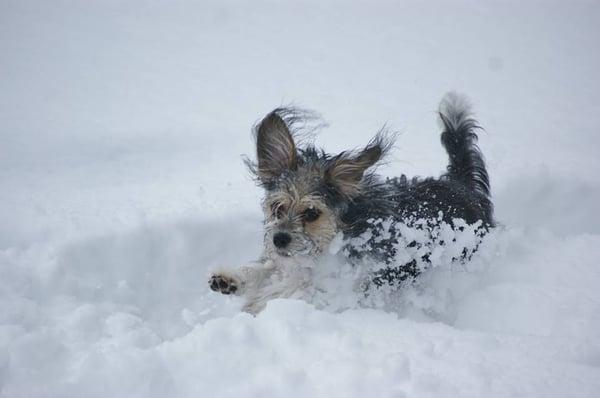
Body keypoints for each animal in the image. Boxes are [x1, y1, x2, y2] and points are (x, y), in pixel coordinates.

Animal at [209, 94, 494, 314]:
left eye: (311, 213)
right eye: (276, 207)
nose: (279, 239)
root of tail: (460, 183)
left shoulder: (351, 286)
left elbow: (301, 290)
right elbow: (264, 269)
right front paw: (231, 279)